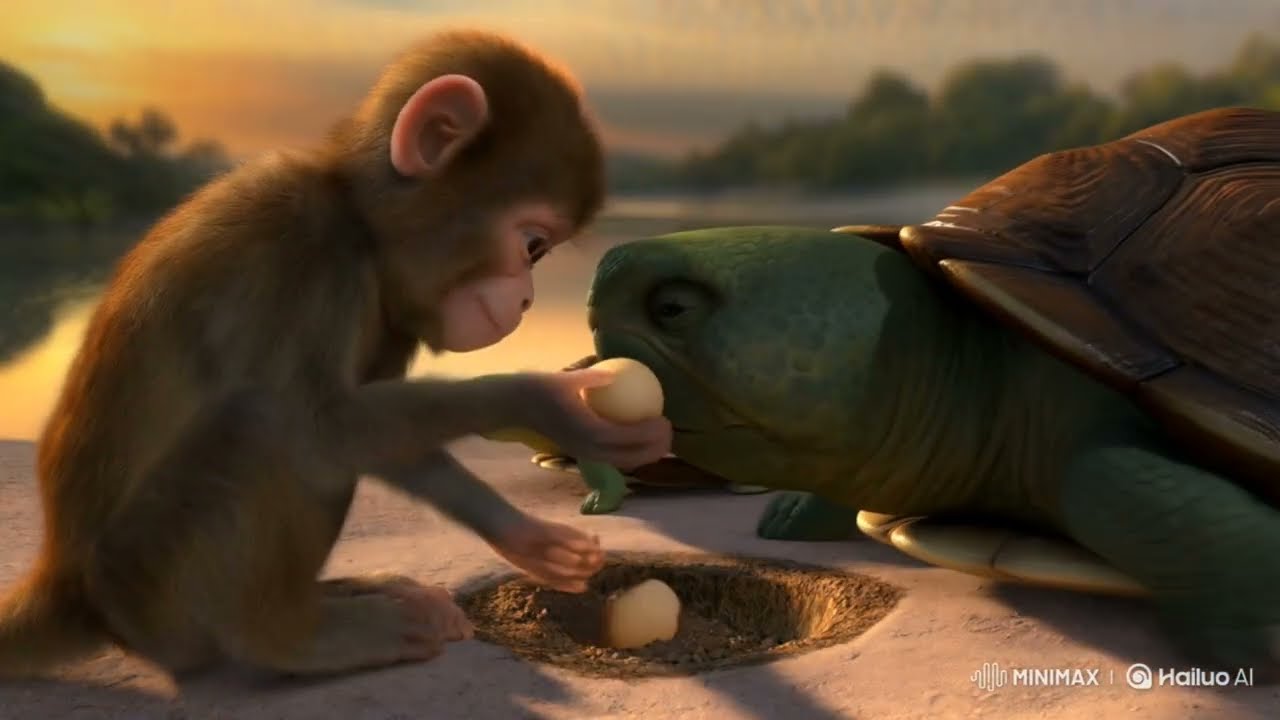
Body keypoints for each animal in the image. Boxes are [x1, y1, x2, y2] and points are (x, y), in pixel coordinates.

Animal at [0, 29, 672, 679]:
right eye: (532, 246)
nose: (528, 300)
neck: (358, 221)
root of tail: (71, 587)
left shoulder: (394, 308)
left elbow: (378, 440)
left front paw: (526, 538)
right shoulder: (307, 245)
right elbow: (326, 426)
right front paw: (545, 404)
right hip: (155, 584)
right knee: (268, 425)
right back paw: (289, 637)